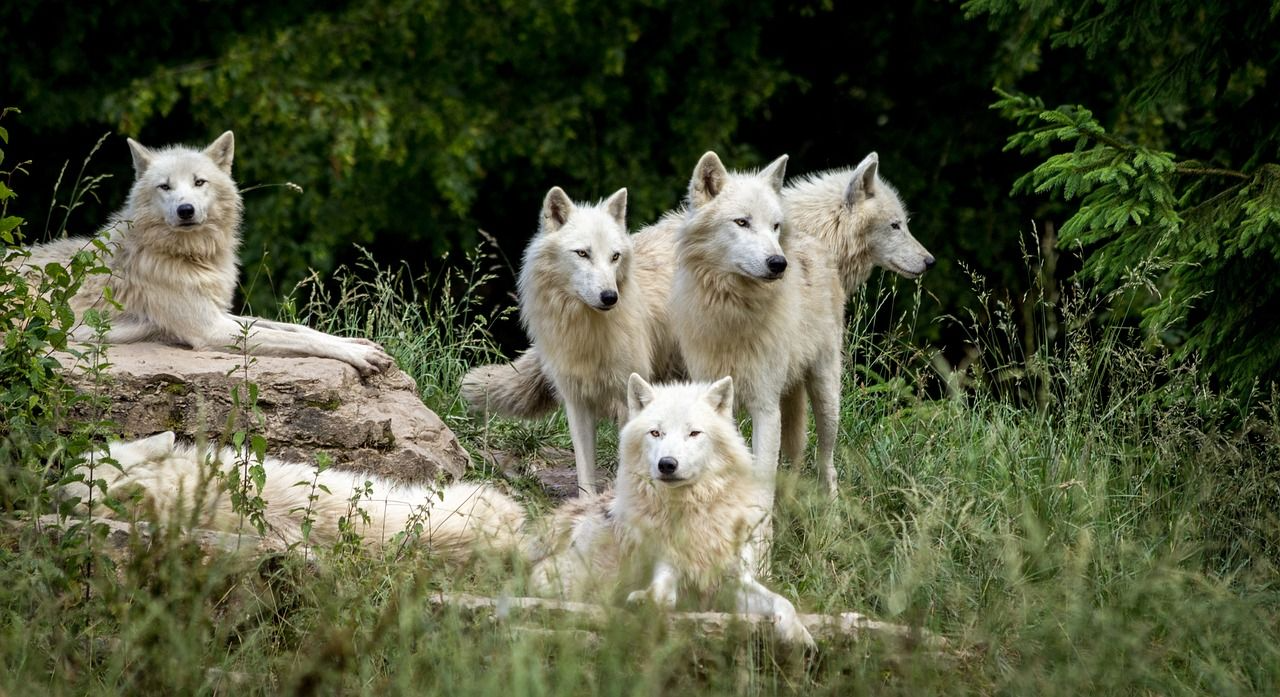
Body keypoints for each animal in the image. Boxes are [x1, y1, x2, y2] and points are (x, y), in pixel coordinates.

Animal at [16, 132, 393, 376]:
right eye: (165, 186)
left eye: (199, 182)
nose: (185, 210)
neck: (190, 258)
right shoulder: (210, 330)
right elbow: (293, 338)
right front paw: (356, 353)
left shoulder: (221, 314)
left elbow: (296, 329)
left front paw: (359, 342)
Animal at [528, 374, 815, 647]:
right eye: (656, 433)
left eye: (694, 433)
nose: (667, 464)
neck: (693, 512)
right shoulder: (667, 565)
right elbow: (662, 593)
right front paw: (645, 601)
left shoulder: (734, 582)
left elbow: (782, 601)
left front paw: (798, 635)